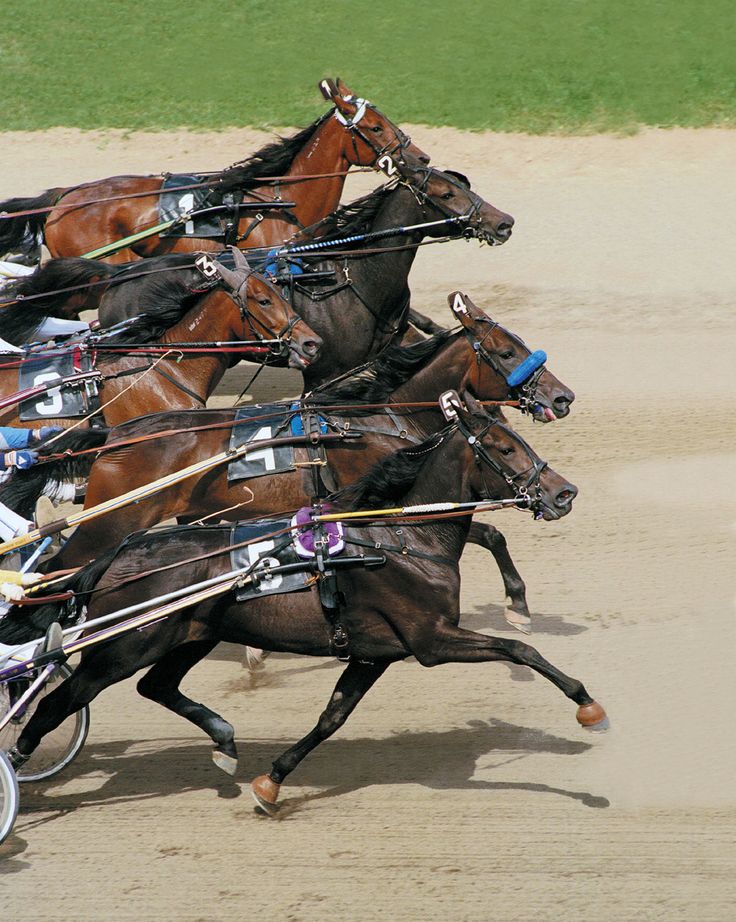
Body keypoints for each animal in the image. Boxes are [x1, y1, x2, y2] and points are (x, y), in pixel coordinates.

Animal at [2, 396, 608, 812]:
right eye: (505, 449)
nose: (564, 493)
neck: (397, 538)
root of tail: (119, 554)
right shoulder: (431, 640)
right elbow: (520, 649)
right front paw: (587, 706)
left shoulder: (372, 653)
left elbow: (331, 717)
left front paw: (271, 782)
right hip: (124, 647)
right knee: (58, 704)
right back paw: (18, 764)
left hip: (190, 636)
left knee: (156, 686)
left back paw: (224, 740)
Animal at [7, 292, 576, 628]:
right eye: (506, 351)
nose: (563, 395)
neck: (379, 418)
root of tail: (115, 436)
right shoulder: (387, 500)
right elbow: (490, 532)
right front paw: (519, 604)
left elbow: (488, 533)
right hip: (111, 520)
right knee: (58, 571)